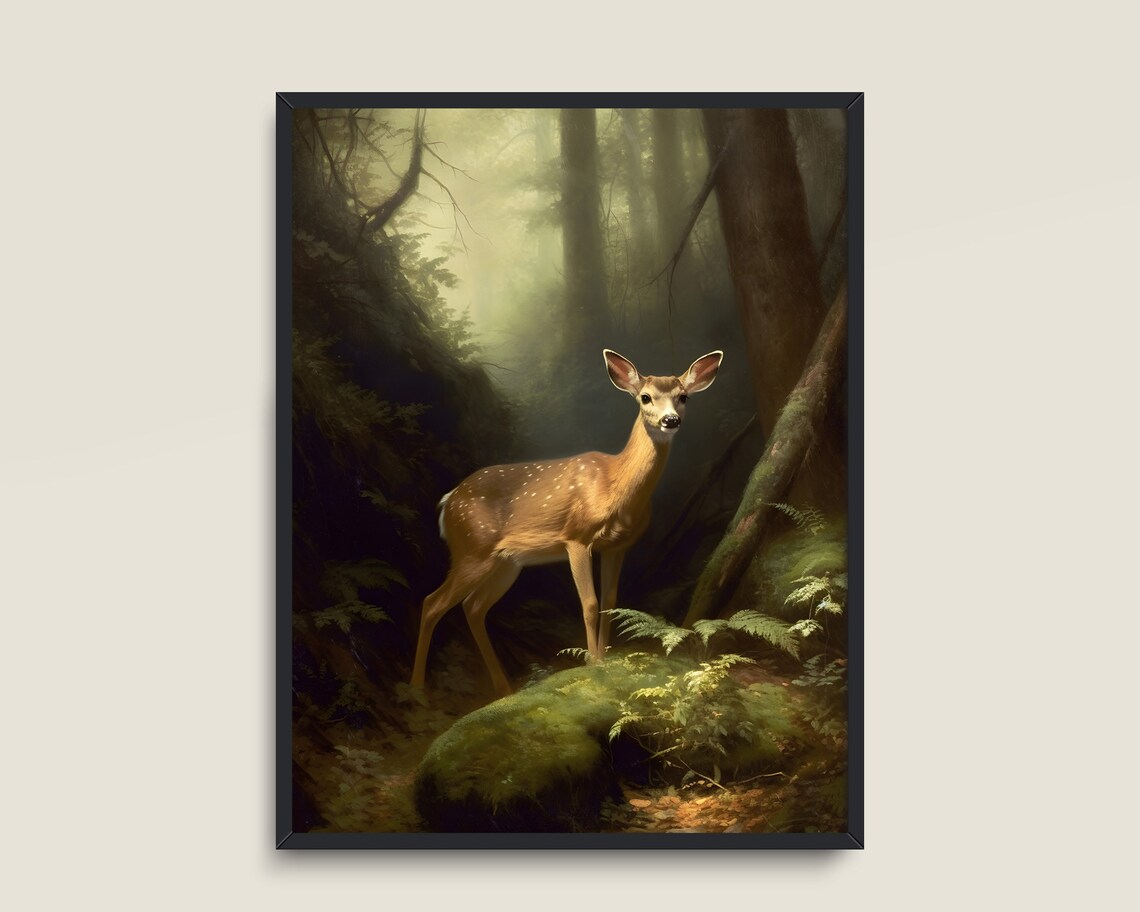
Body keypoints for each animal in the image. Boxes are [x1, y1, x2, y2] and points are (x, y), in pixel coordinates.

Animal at [410, 348, 723, 697]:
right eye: (645, 397)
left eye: (683, 397)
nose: (670, 420)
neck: (614, 485)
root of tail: (447, 501)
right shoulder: (576, 538)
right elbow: (589, 603)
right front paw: (594, 664)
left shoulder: (617, 547)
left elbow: (610, 602)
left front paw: (605, 660)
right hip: (472, 548)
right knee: (432, 602)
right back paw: (417, 688)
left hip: (506, 562)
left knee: (473, 607)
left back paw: (504, 688)